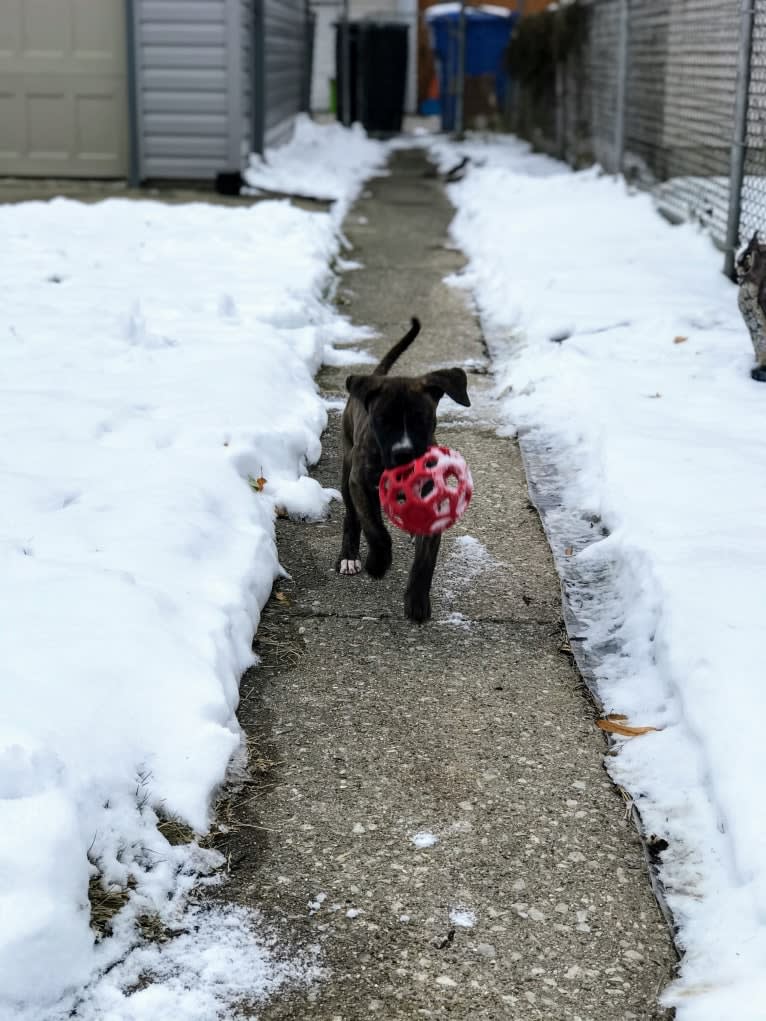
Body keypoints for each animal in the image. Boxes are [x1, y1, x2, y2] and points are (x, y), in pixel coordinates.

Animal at [339, 318, 471, 620]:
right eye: (381, 421)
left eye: (422, 419)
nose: (404, 453)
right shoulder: (359, 483)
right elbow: (375, 528)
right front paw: (378, 562)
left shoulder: (433, 501)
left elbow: (425, 559)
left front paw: (417, 601)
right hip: (346, 469)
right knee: (352, 517)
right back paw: (349, 557)